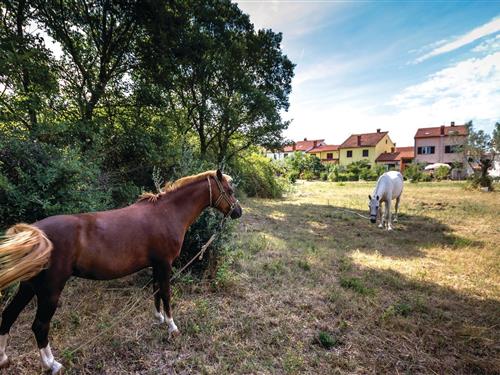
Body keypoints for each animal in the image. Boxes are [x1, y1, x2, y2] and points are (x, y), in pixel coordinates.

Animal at [0, 171, 242, 375]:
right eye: (229, 190)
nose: (238, 212)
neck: (168, 213)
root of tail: (37, 234)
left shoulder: (156, 265)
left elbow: (155, 291)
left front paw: (159, 318)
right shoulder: (165, 264)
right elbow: (165, 293)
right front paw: (172, 326)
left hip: (29, 287)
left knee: (8, 315)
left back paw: (4, 358)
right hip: (50, 291)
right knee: (40, 326)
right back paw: (52, 364)